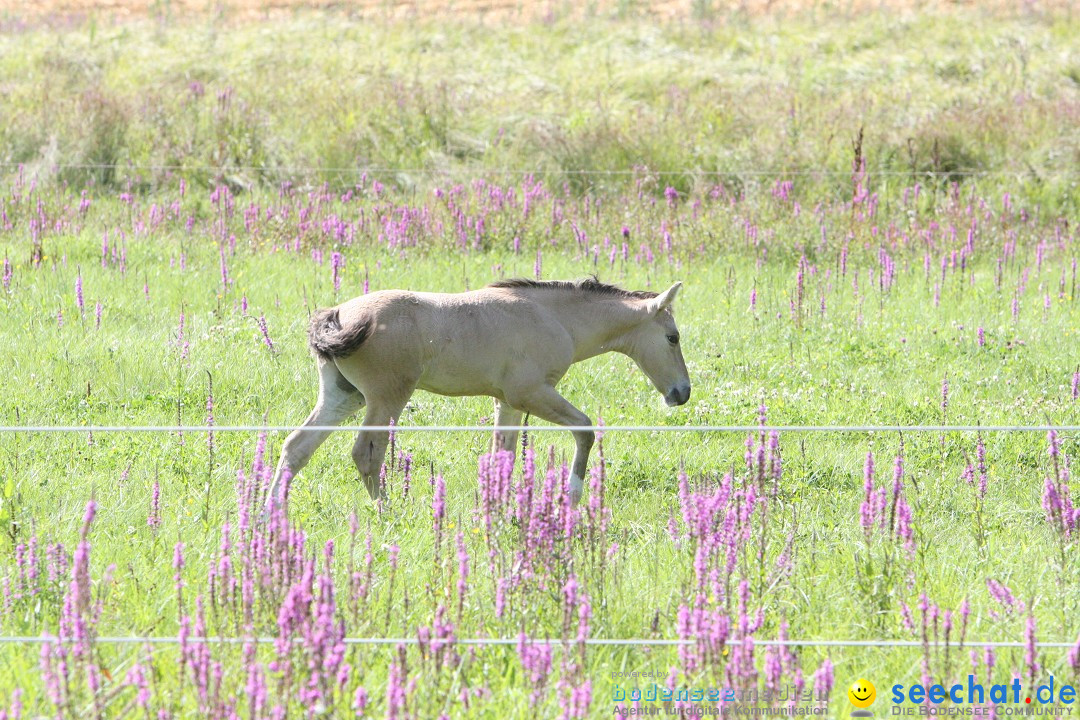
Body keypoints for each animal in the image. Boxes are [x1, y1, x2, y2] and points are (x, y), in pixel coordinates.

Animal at [268, 278, 691, 511]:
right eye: (673, 337)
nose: (682, 393)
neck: (555, 317)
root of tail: (337, 315)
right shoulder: (531, 393)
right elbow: (585, 429)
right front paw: (570, 496)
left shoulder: (507, 402)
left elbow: (503, 454)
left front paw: (499, 508)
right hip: (386, 399)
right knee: (366, 455)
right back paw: (388, 512)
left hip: (344, 397)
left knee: (296, 447)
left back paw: (269, 513)